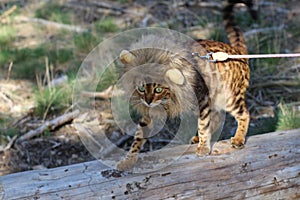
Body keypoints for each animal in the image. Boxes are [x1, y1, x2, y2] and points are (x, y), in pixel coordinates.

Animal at [116, 0, 254, 172]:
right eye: (141, 88)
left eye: (158, 89)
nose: (148, 101)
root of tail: (236, 50)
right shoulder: (150, 112)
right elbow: (138, 136)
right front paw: (128, 160)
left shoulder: (203, 98)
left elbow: (203, 124)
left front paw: (203, 147)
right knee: (216, 117)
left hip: (229, 98)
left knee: (244, 114)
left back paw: (238, 138)